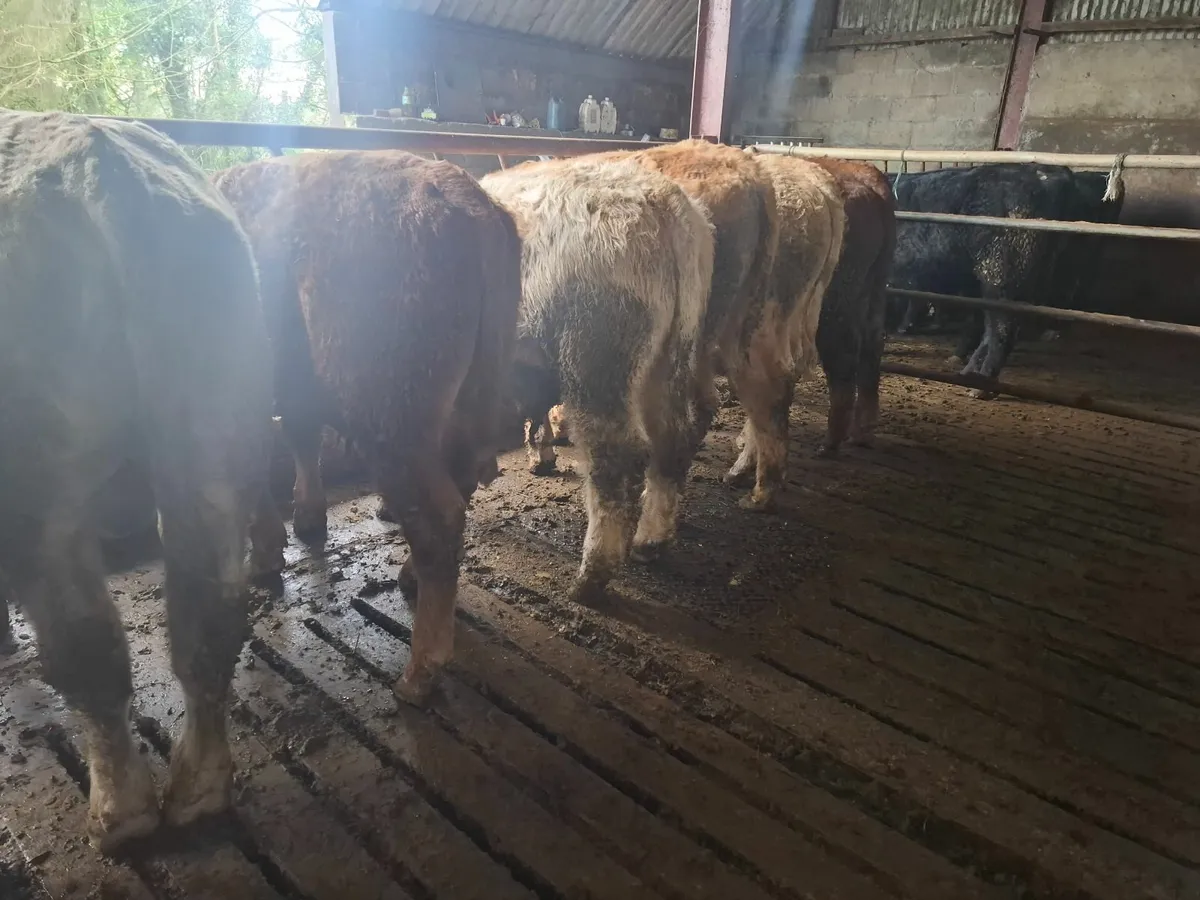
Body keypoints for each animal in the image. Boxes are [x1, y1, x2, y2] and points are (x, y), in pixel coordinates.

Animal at [0, 110, 276, 851]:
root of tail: (100, 171)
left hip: (40, 487)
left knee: (85, 646)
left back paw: (118, 814)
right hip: (210, 426)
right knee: (209, 616)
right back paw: (197, 791)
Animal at [215, 150, 522, 704]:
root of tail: (469, 203)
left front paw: (266, 553)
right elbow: (299, 431)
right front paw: (306, 519)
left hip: (390, 416)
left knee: (437, 514)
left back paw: (419, 673)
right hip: (467, 401)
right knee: (459, 483)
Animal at [481, 155, 714, 602]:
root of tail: (663, 204)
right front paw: (541, 455)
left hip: (596, 356)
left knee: (616, 456)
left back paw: (591, 578)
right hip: (671, 352)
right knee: (672, 439)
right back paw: (650, 541)